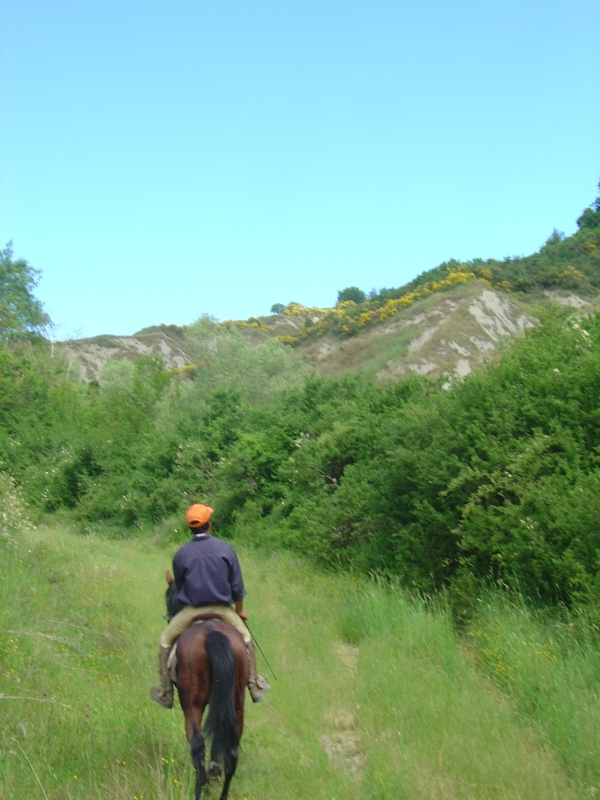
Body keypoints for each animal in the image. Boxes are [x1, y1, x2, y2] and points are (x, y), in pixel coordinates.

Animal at [164, 572, 249, 800]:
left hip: (191, 704)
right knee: (231, 751)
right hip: (236, 703)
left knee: (197, 744)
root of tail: (211, 631)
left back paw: (200, 788)